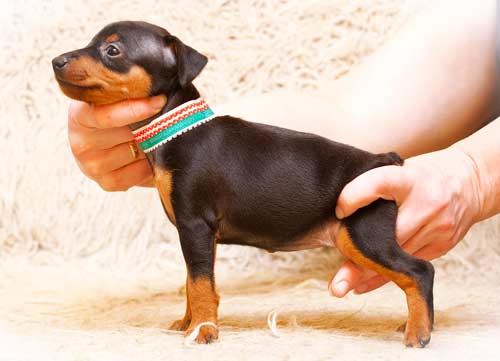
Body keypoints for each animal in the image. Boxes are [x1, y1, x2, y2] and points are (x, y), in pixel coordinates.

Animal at [51, 20, 434, 346]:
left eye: (112, 50)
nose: (56, 60)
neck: (176, 131)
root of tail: (382, 160)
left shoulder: (194, 225)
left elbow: (199, 283)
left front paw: (203, 331)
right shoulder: (200, 235)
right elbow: (194, 281)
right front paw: (189, 323)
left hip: (363, 234)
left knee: (420, 271)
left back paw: (418, 332)